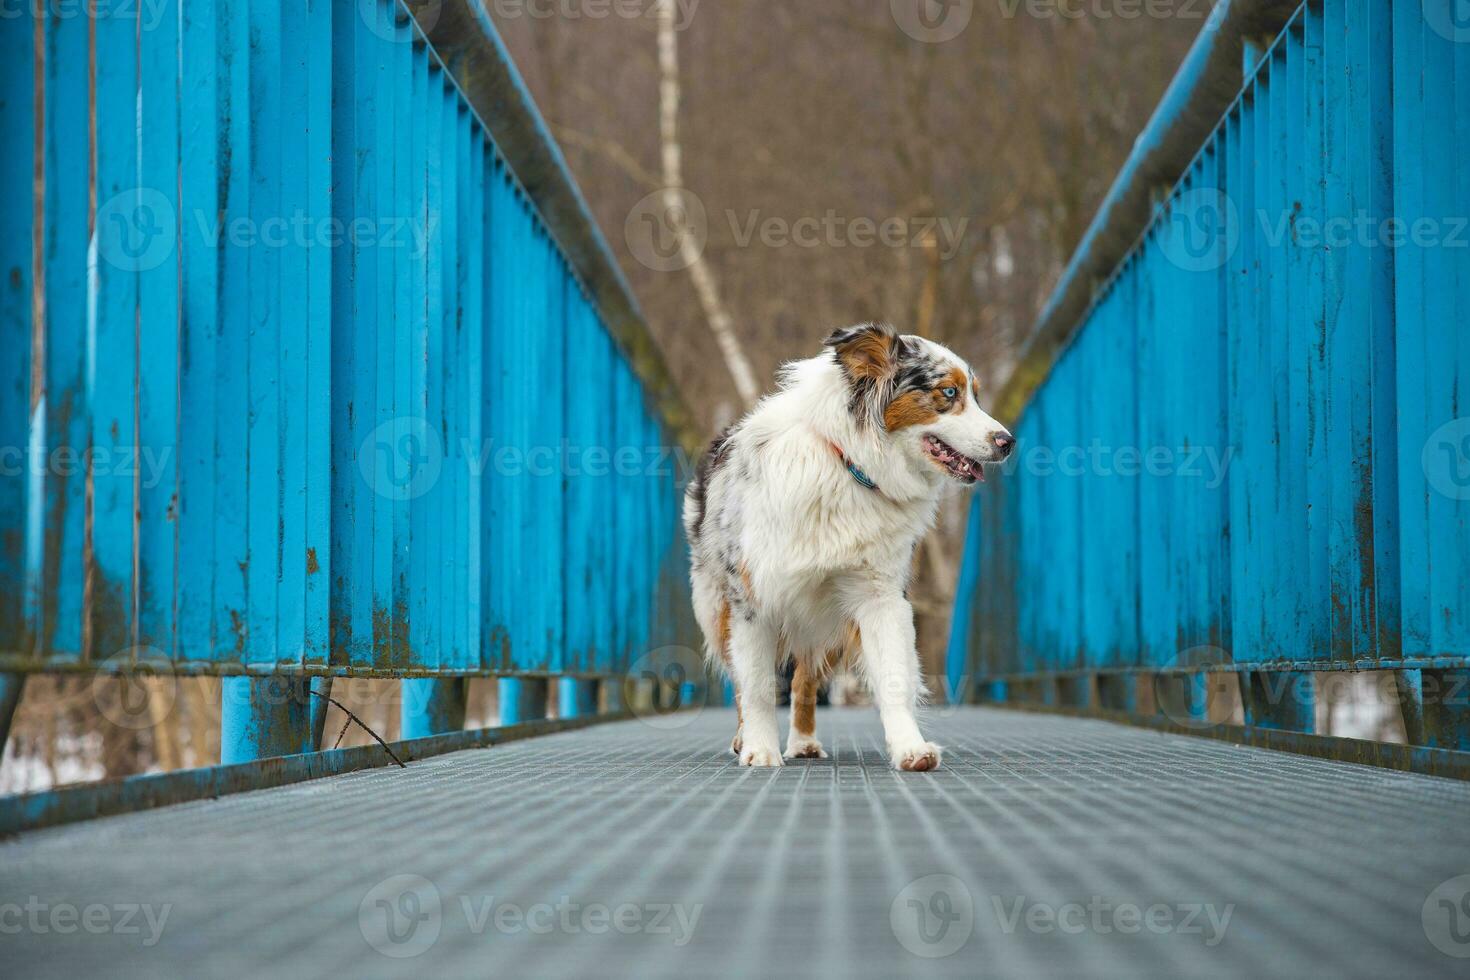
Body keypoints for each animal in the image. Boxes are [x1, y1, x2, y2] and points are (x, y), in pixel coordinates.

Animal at [685, 326, 1011, 769]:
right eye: (948, 392)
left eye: (975, 394)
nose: (1008, 442)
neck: (848, 466)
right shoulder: (751, 600)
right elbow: (756, 685)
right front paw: (759, 749)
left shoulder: (878, 596)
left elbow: (893, 676)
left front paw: (911, 748)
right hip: (714, 606)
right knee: (743, 678)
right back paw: (744, 738)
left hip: (825, 622)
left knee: (805, 679)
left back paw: (804, 742)